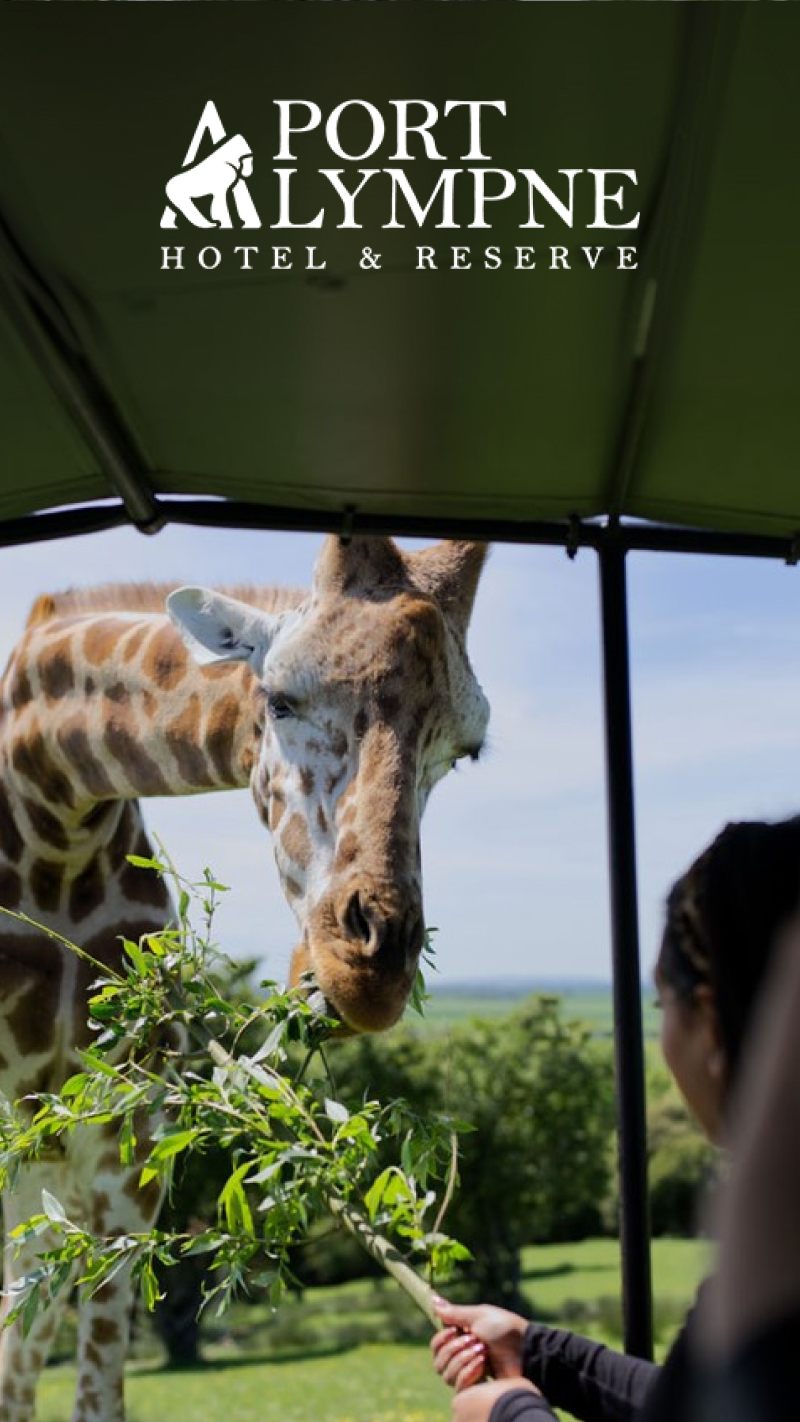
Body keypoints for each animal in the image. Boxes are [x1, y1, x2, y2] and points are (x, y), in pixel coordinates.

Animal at [0, 534, 489, 1422]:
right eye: (282, 700)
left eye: (463, 749)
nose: (365, 975)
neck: (50, 802)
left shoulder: (130, 1136)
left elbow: (97, 1383)